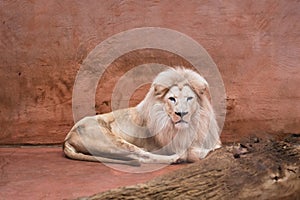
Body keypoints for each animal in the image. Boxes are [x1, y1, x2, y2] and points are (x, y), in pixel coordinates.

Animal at [63, 68, 221, 166]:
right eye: (172, 99)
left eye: (189, 98)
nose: (181, 113)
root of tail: (67, 138)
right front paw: (200, 152)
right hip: (112, 141)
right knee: (141, 156)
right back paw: (178, 158)